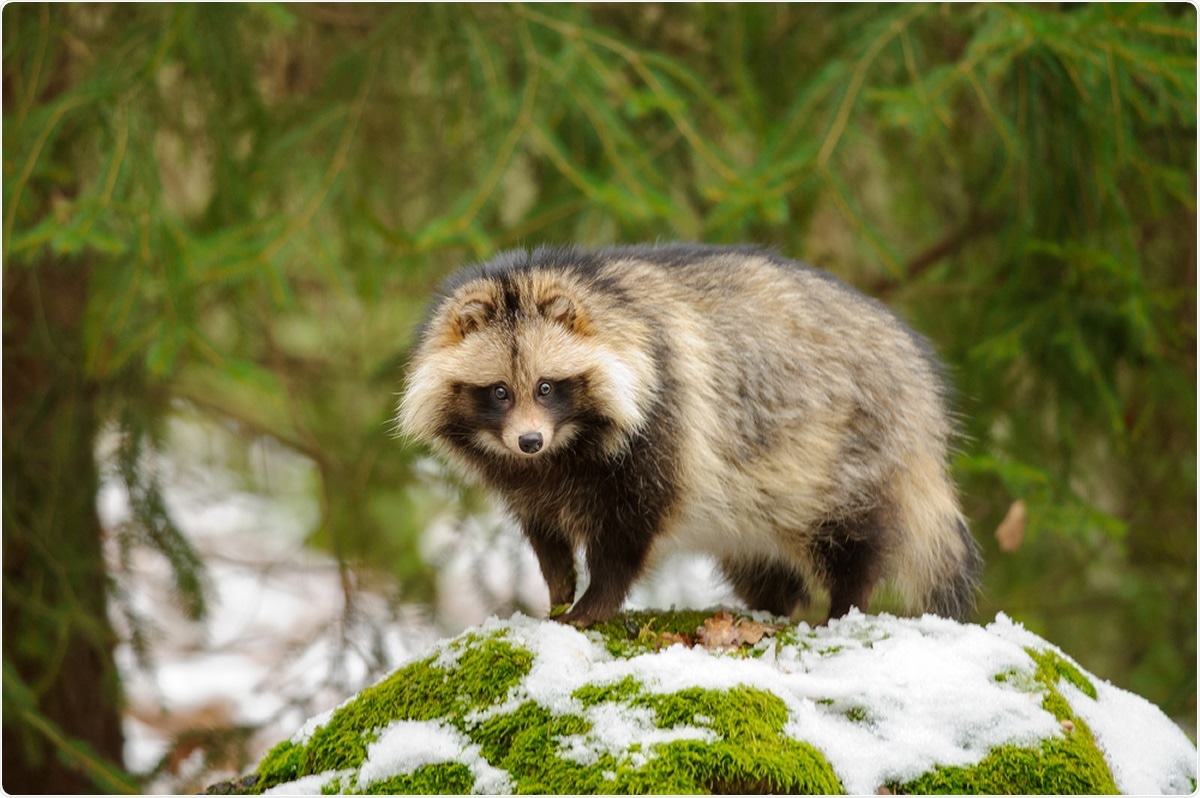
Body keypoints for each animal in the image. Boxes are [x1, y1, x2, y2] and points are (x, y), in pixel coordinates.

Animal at [398, 244, 981, 627]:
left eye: (546, 387)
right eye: (499, 392)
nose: (529, 442)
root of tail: (920, 381)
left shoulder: (664, 419)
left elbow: (630, 529)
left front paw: (594, 601)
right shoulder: (525, 478)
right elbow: (545, 532)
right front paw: (559, 587)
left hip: (848, 448)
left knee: (854, 538)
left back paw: (845, 605)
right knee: (762, 563)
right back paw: (770, 606)